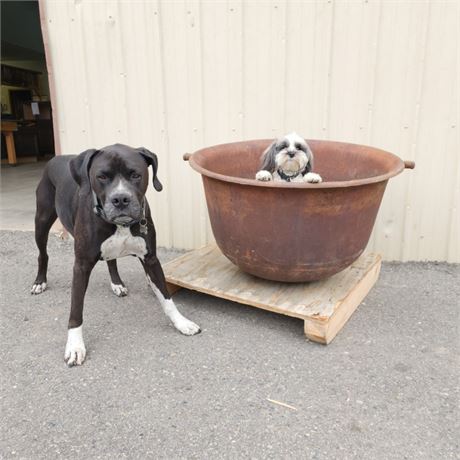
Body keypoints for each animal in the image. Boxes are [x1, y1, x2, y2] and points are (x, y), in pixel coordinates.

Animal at [30, 144, 199, 366]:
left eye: (135, 174)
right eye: (102, 176)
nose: (120, 199)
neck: (120, 225)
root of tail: (55, 158)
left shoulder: (151, 259)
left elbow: (166, 296)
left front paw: (181, 322)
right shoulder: (81, 265)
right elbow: (76, 309)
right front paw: (75, 346)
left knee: (111, 261)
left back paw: (117, 284)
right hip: (41, 221)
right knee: (43, 254)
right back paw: (39, 281)